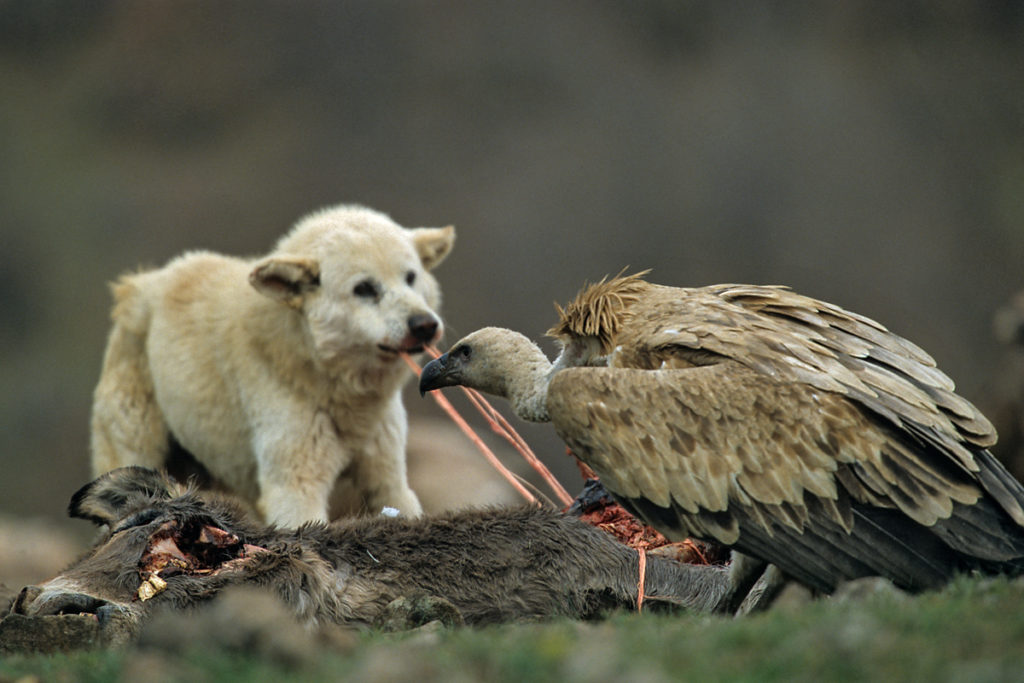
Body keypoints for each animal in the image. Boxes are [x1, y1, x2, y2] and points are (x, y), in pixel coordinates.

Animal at [91, 205, 452, 528]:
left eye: (410, 278)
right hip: (136, 450)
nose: (424, 325)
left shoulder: (388, 478)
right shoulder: (294, 486)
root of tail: (140, 283)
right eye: (364, 288)